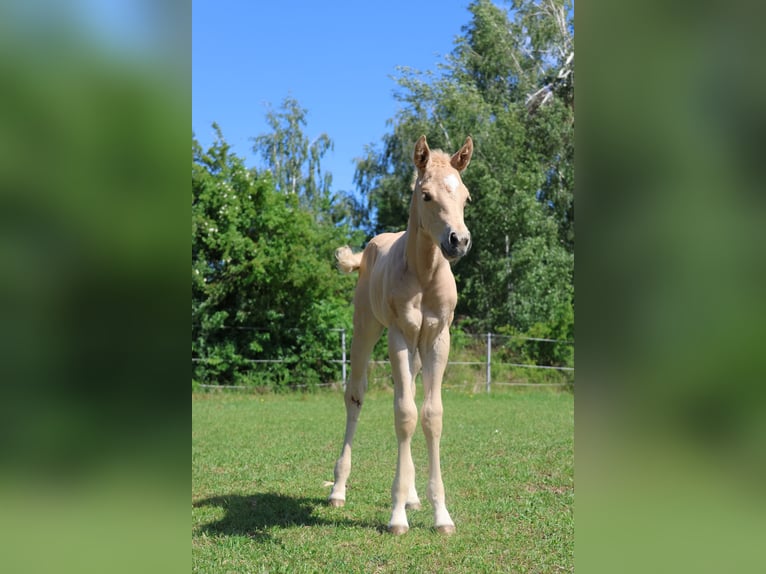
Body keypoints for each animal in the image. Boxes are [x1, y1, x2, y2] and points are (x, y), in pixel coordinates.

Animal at [328, 134, 474, 535]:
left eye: (466, 197)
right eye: (426, 195)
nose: (458, 241)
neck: (423, 275)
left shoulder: (438, 339)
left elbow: (431, 415)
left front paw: (441, 515)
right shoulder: (399, 336)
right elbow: (405, 415)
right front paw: (396, 517)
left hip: (416, 351)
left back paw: (412, 496)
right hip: (366, 327)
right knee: (355, 397)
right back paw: (338, 490)